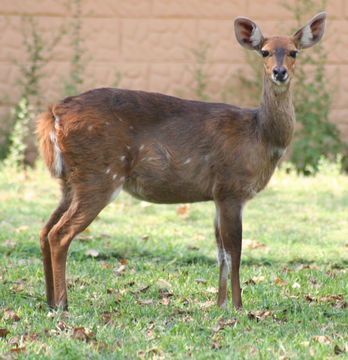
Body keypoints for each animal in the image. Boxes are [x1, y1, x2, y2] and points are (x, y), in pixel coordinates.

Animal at [37, 11, 326, 310]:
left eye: (293, 52)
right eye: (264, 52)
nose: (279, 72)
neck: (260, 135)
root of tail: (53, 114)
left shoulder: (217, 196)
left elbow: (220, 252)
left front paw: (219, 305)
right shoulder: (232, 189)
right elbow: (234, 251)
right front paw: (237, 307)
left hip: (70, 182)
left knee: (44, 231)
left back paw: (50, 300)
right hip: (99, 175)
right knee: (60, 233)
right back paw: (63, 304)